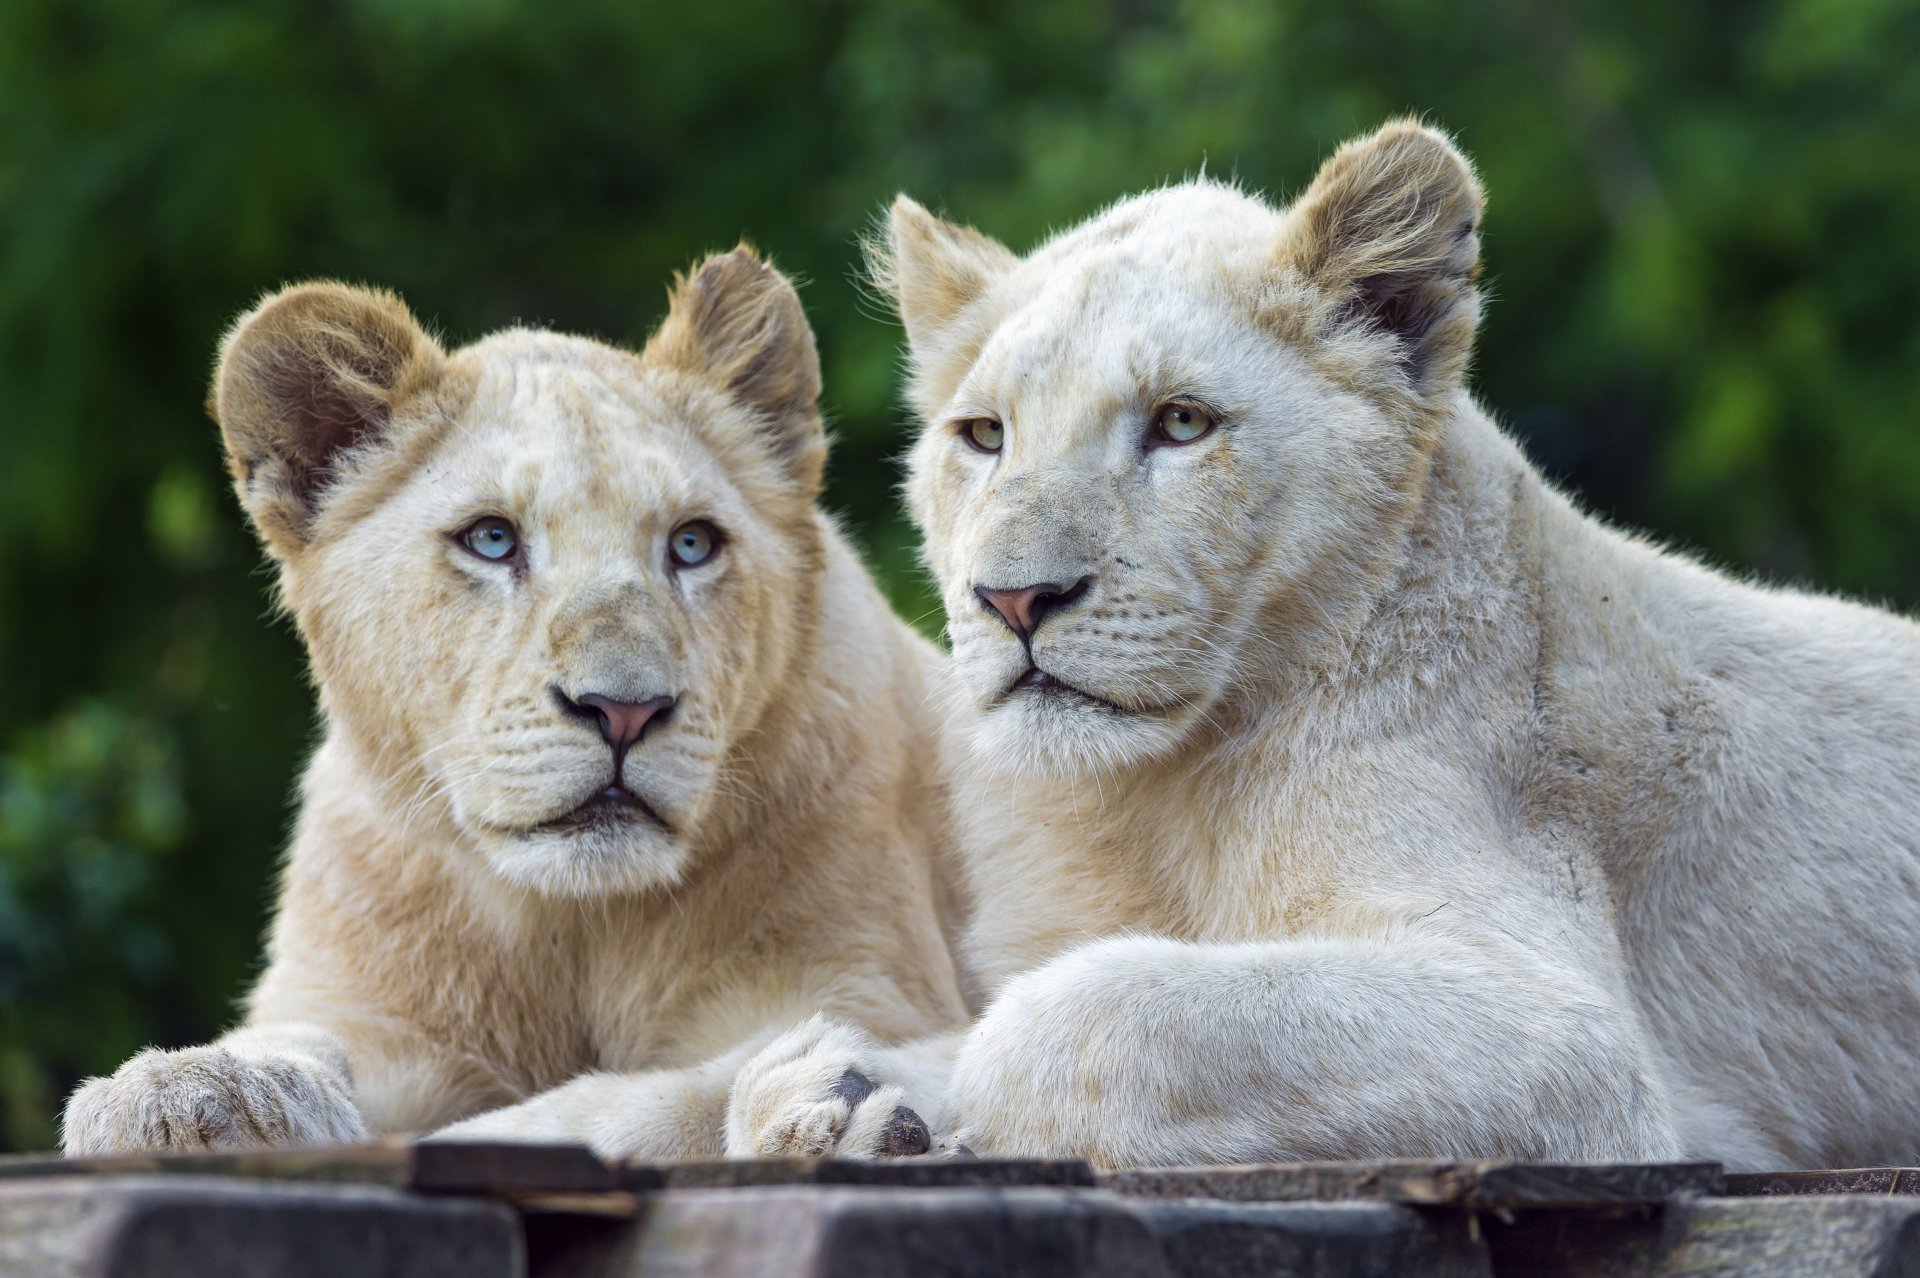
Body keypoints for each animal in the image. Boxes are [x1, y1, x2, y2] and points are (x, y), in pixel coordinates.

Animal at [61, 248, 968, 1160]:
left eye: (692, 544)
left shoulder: (866, 984)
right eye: (492, 539)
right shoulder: (367, 1014)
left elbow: (605, 1106)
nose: (624, 711)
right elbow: (302, 1046)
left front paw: (831, 1102)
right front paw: (183, 1088)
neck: (570, 928)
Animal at [812, 119, 1920, 1172]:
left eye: (1182, 423)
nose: (1013, 599)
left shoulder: (1570, 1031)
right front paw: (839, 1095)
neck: (1137, 802)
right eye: (984, 436)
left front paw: (919, 1100)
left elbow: (1081, 1016)